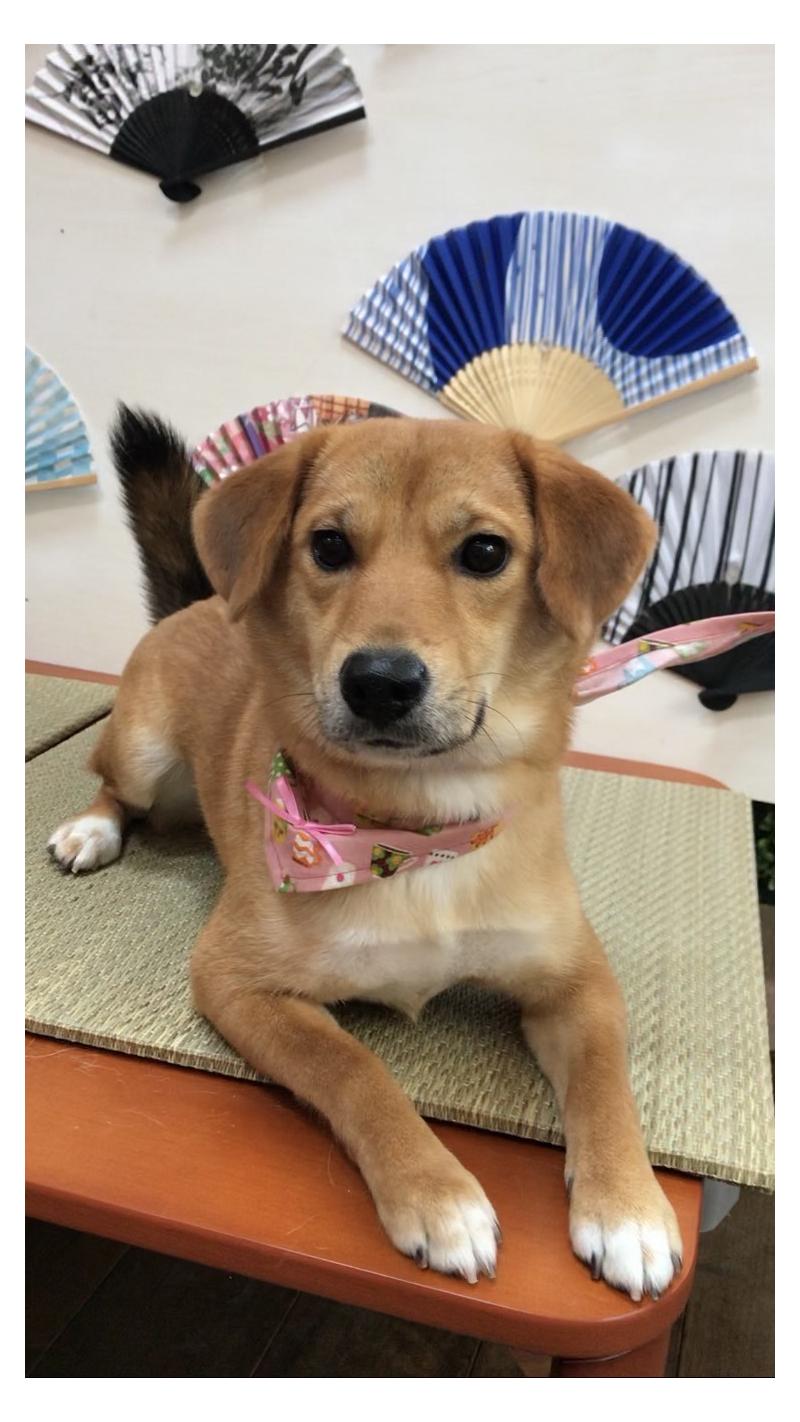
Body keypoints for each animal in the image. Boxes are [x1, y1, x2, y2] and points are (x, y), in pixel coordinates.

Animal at [47, 409, 682, 1299]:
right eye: (329, 545)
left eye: (485, 551)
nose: (380, 681)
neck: (412, 834)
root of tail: (206, 599)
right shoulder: (236, 981)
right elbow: (355, 1070)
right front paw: (438, 1195)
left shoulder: (575, 978)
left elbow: (604, 1081)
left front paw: (626, 1208)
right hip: (141, 750)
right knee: (111, 784)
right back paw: (91, 832)